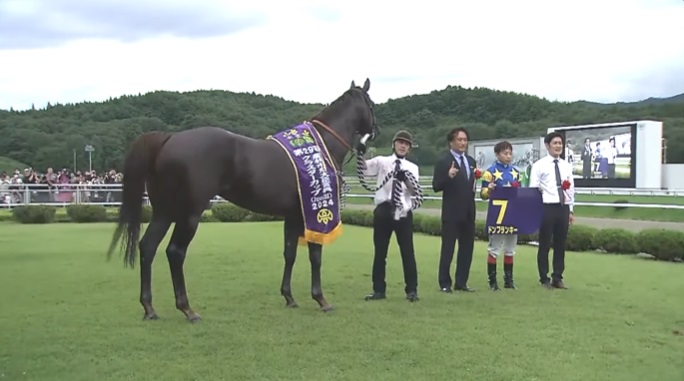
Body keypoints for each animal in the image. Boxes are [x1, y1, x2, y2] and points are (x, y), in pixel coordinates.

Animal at [107, 78, 380, 320]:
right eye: (372, 104)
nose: (374, 132)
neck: (322, 145)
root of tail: (169, 139)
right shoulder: (314, 212)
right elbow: (315, 256)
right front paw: (321, 299)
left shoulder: (292, 215)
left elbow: (289, 253)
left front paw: (289, 297)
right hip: (189, 214)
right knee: (175, 252)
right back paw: (187, 309)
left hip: (164, 212)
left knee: (148, 247)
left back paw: (149, 308)